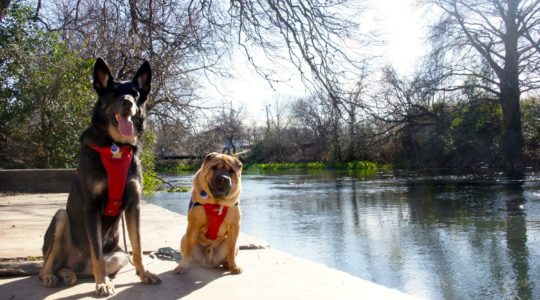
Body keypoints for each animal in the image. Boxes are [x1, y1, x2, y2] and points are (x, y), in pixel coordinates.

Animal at [39, 58, 160, 296]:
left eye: (135, 93)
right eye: (113, 92)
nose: (128, 103)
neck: (115, 147)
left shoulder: (133, 206)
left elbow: (138, 248)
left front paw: (143, 275)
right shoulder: (92, 207)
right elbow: (96, 252)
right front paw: (103, 283)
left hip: (119, 255)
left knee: (83, 268)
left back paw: (68, 274)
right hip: (61, 217)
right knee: (48, 265)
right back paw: (51, 275)